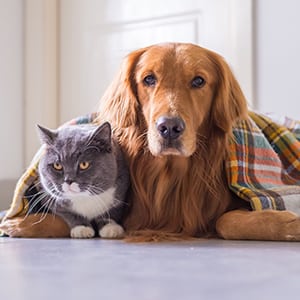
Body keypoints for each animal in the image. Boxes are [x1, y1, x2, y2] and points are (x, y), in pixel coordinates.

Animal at [3, 42, 300, 240]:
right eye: (148, 79)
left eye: (199, 81)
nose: (169, 128)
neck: (171, 175)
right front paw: (20, 223)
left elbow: (224, 221)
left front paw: (288, 223)